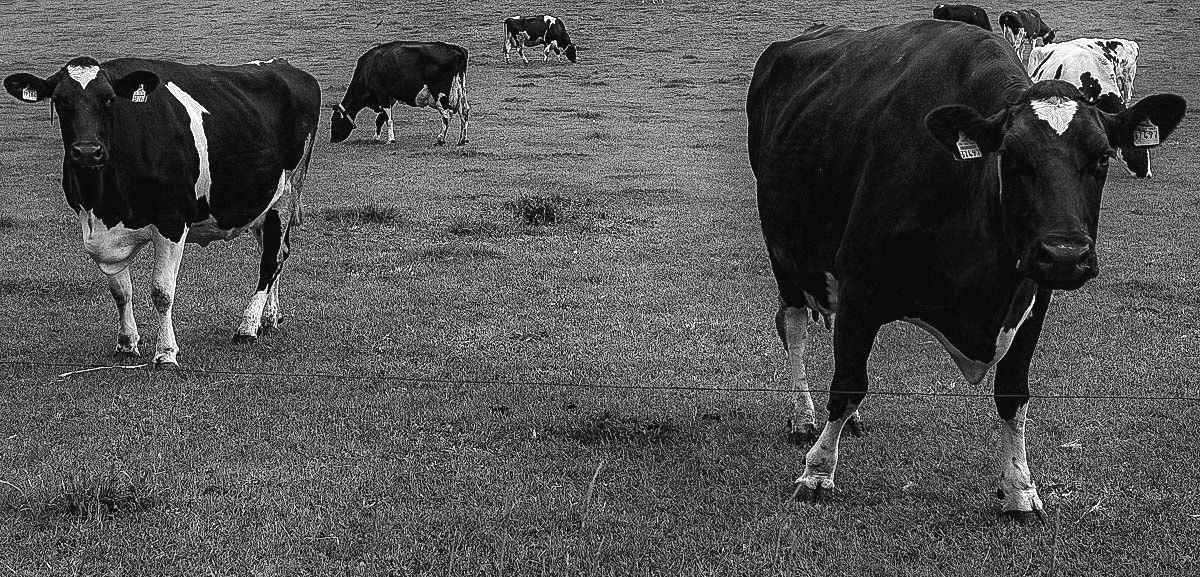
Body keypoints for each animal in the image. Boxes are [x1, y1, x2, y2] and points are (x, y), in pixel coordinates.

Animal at [4, 57, 321, 366]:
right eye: (59, 101)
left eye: (109, 100)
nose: (87, 152)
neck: (105, 203)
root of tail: (285, 66)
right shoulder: (99, 230)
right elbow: (121, 291)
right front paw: (126, 344)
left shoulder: (172, 221)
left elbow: (162, 291)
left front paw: (166, 353)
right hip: (262, 201)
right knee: (276, 250)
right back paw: (270, 317)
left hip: (288, 190)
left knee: (272, 258)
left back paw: (248, 326)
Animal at [330, 41, 469, 146]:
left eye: (334, 120)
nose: (332, 140)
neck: (367, 69)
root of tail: (456, 48)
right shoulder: (390, 98)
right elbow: (380, 119)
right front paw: (376, 138)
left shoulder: (382, 93)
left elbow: (388, 119)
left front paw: (390, 140)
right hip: (461, 90)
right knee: (464, 111)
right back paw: (462, 140)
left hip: (439, 93)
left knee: (446, 115)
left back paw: (440, 140)